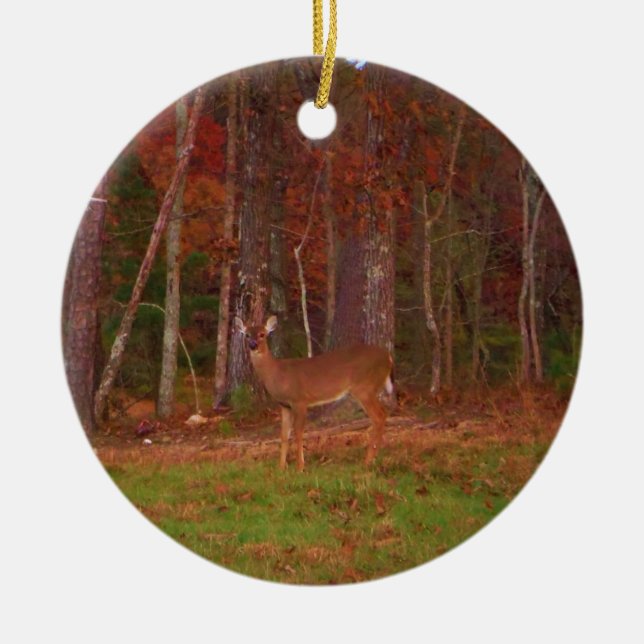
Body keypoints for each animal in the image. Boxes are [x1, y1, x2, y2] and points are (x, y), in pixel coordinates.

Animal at [234, 315, 394, 471]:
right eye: (247, 335)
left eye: (262, 334)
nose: (253, 345)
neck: (277, 373)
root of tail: (388, 357)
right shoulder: (285, 405)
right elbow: (284, 435)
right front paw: (281, 468)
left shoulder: (299, 400)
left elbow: (298, 433)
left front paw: (300, 467)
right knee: (382, 414)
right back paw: (373, 458)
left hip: (364, 387)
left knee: (379, 416)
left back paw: (368, 461)